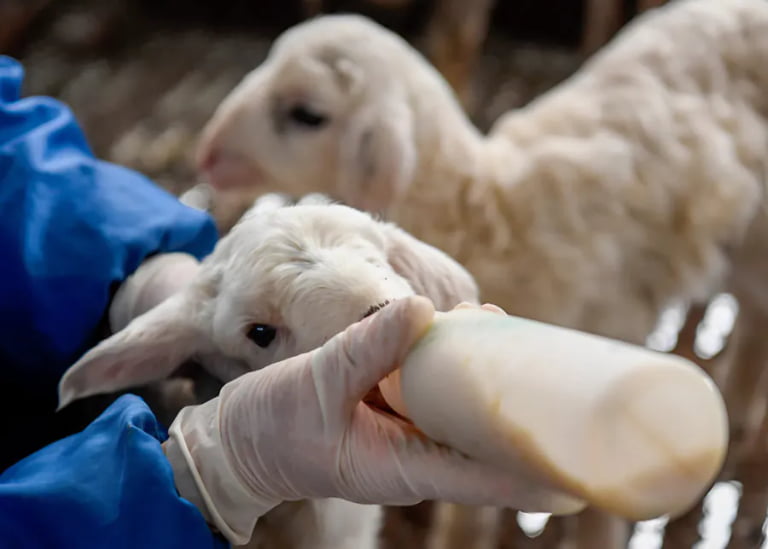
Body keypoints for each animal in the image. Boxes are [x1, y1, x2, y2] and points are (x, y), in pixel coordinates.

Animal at [192, 0, 768, 546]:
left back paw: (739, 411)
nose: (207, 155)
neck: (483, 209)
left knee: (755, 311)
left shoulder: (611, 326)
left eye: (307, 114)